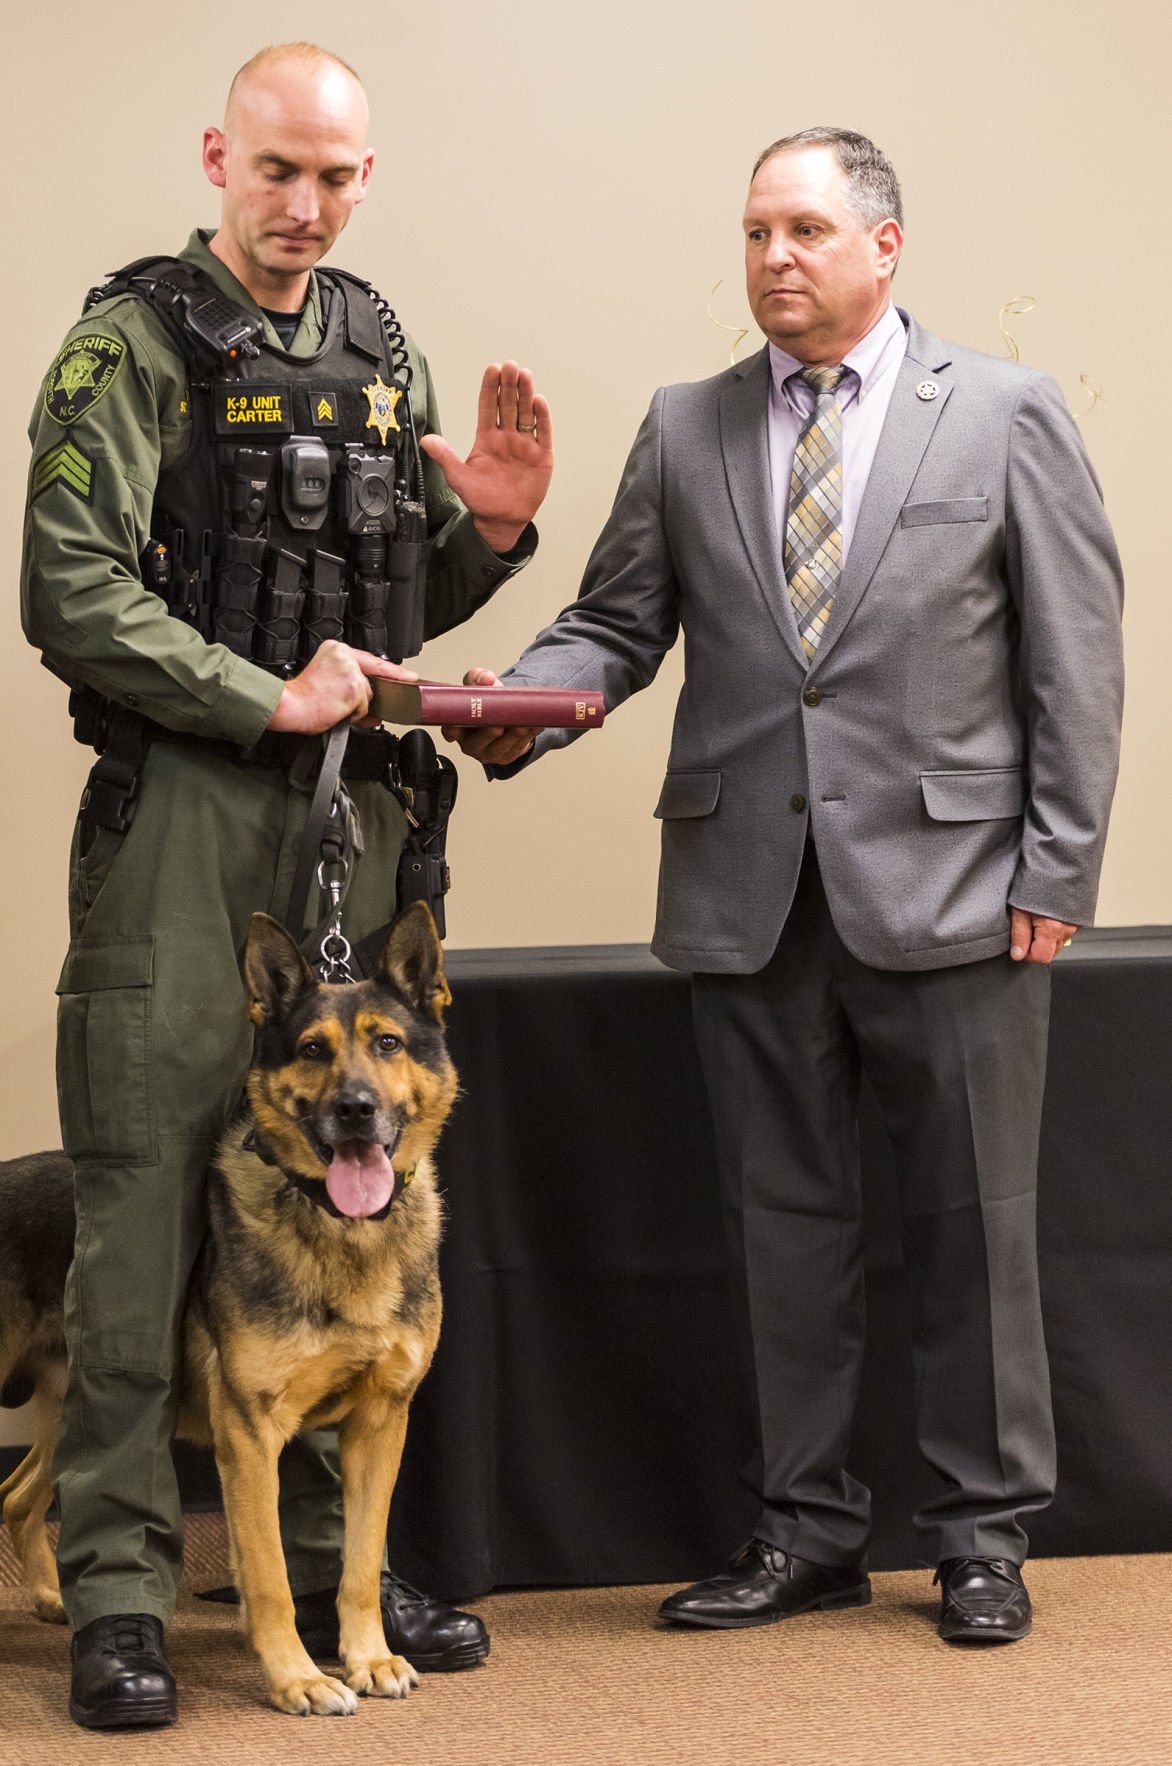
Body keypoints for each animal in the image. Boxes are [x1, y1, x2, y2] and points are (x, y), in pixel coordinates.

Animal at [0, 904, 458, 1716]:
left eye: (389, 1043)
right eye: (312, 1050)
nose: (356, 1110)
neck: (339, 1230)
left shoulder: (380, 1424)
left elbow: (359, 1561)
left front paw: (368, 1657)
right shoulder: (249, 1434)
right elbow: (270, 1573)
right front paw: (297, 1676)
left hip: (70, 1416)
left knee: (18, 1497)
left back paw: (56, 1601)